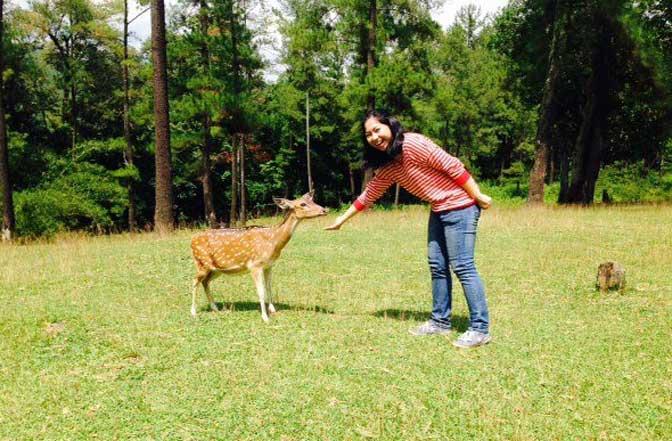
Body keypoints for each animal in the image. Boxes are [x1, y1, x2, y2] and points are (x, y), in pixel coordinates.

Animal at [190, 191, 326, 322]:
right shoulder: (255, 265)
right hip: (201, 262)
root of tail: (192, 241)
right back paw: (193, 311)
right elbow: (261, 291)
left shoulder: (269, 265)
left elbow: (269, 287)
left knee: (205, 282)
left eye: (312, 200)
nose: (324, 210)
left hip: (216, 269)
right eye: (303, 204)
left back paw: (215, 308)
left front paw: (272, 310)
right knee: (195, 281)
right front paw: (265, 317)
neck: (273, 241)